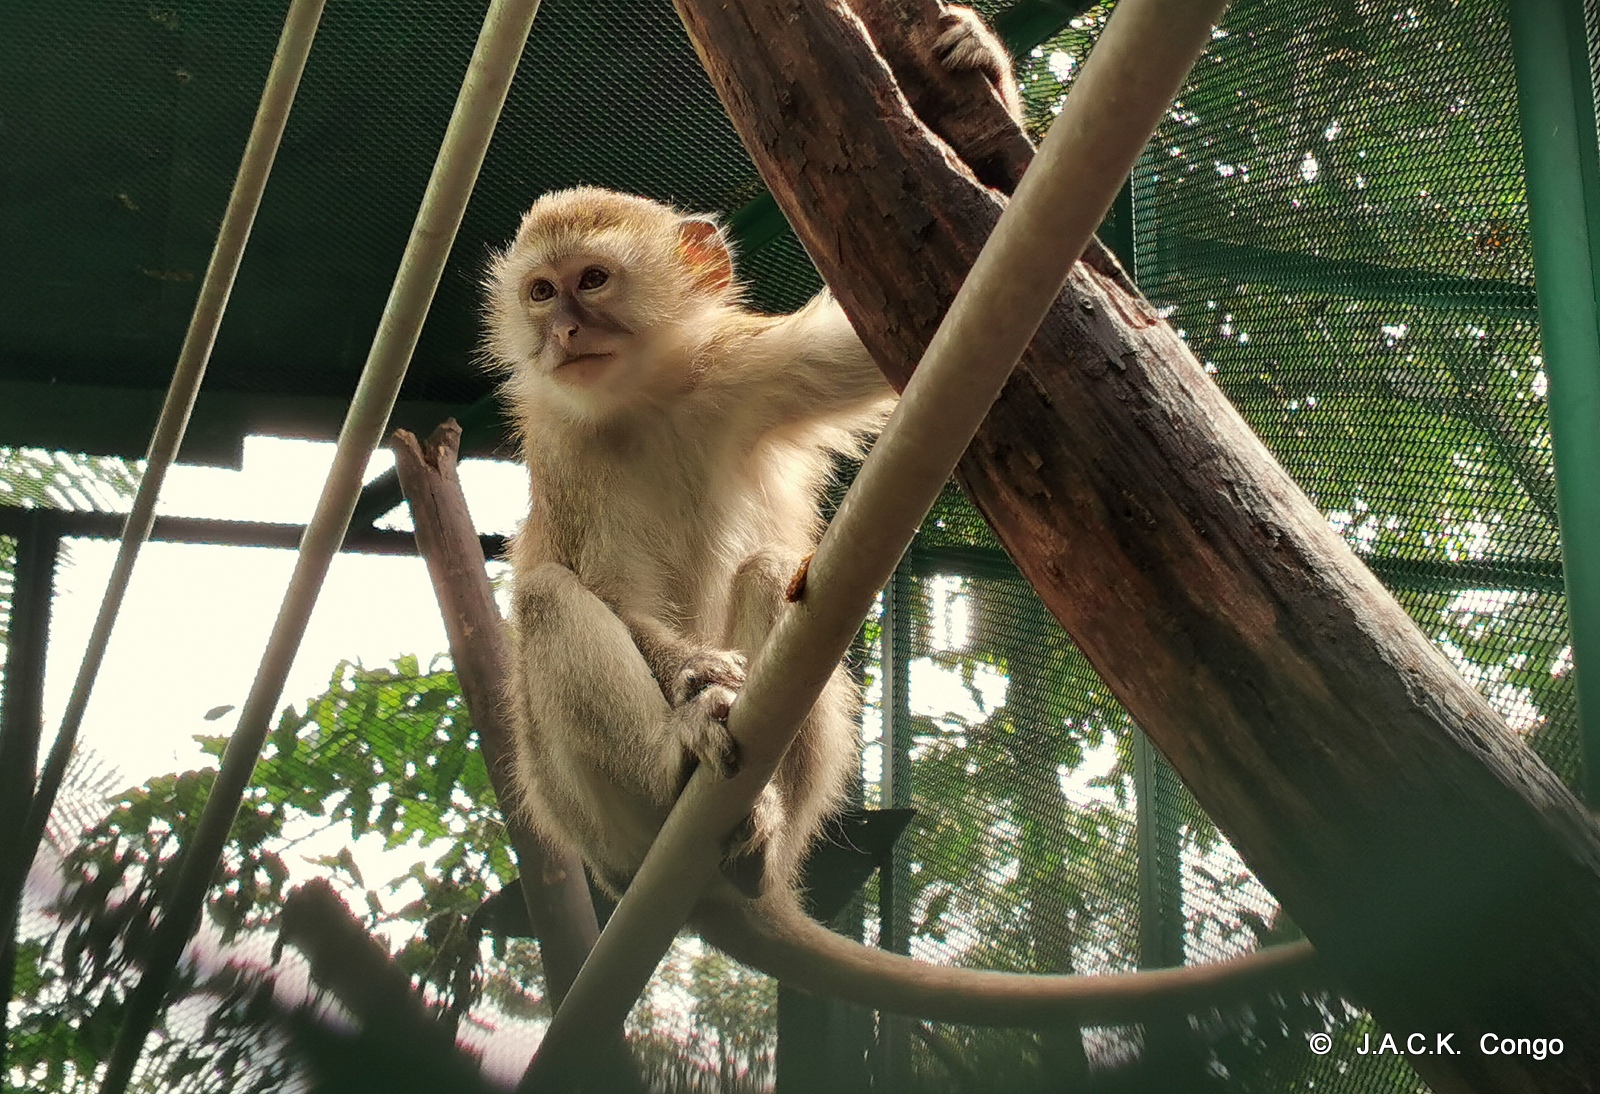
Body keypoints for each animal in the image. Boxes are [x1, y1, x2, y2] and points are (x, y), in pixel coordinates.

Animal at [492, 6, 1318, 1023]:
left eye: (593, 281)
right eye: (540, 291)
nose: (561, 332)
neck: (642, 401)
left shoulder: (742, 369)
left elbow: (902, 322)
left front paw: (984, 69)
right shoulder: (562, 452)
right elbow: (603, 592)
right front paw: (695, 681)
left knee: (768, 574)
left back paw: (749, 830)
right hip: (579, 806)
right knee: (548, 606)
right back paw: (682, 756)